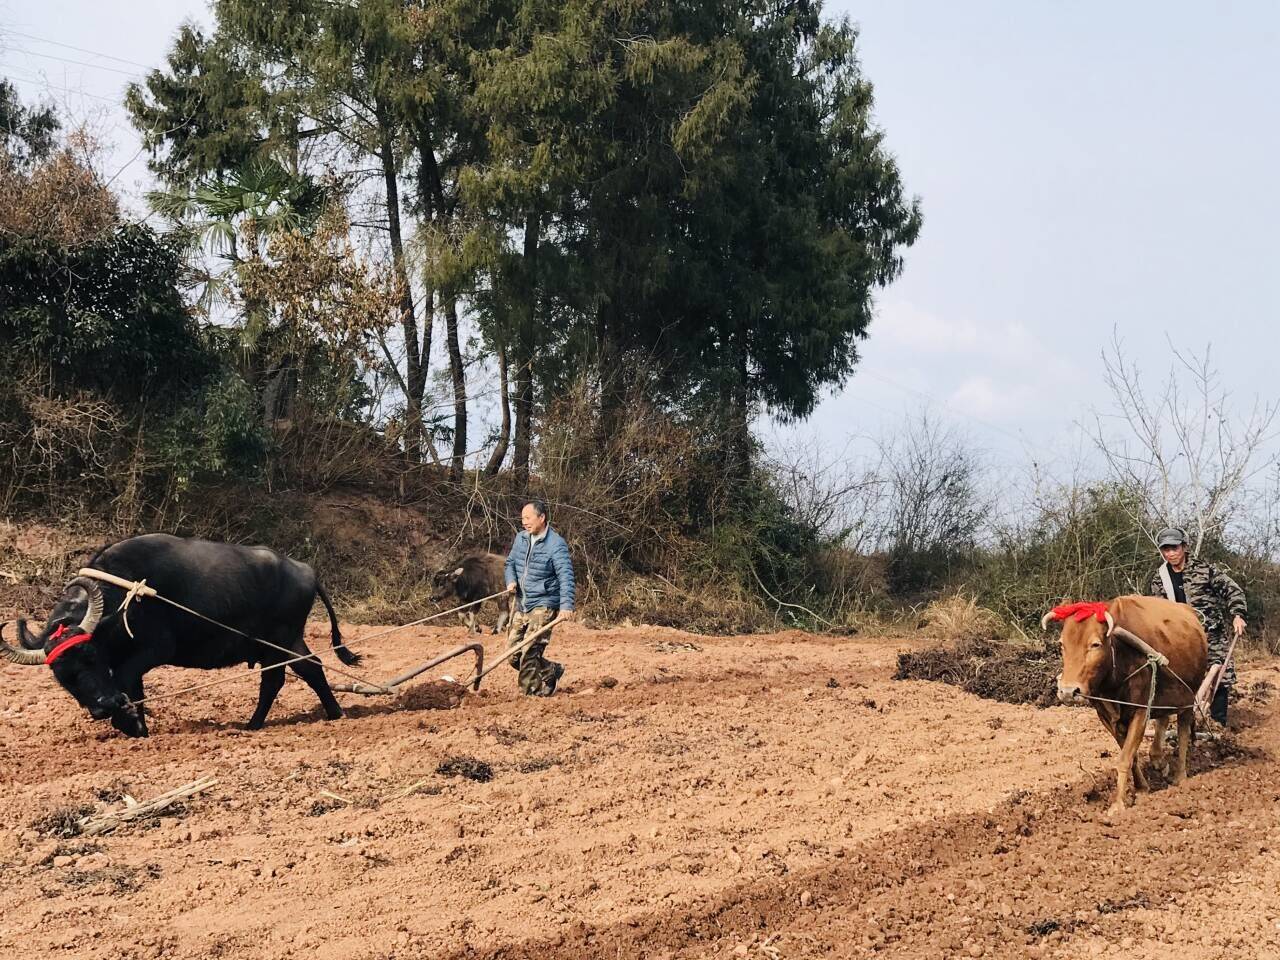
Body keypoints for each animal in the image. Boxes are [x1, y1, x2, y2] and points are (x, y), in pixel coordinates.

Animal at [1, 535, 360, 737]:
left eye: (91, 655)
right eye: (61, 675)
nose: (103, 706)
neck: (121, 600)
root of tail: (306, 571)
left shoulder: (155, 649)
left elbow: (127, 680)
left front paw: (128, 721)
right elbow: (134, 689)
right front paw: (137, 727)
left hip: (277, 643)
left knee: (274, 680)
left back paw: (252, 726)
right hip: (288, 642)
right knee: (312, 668)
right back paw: (334, 713)